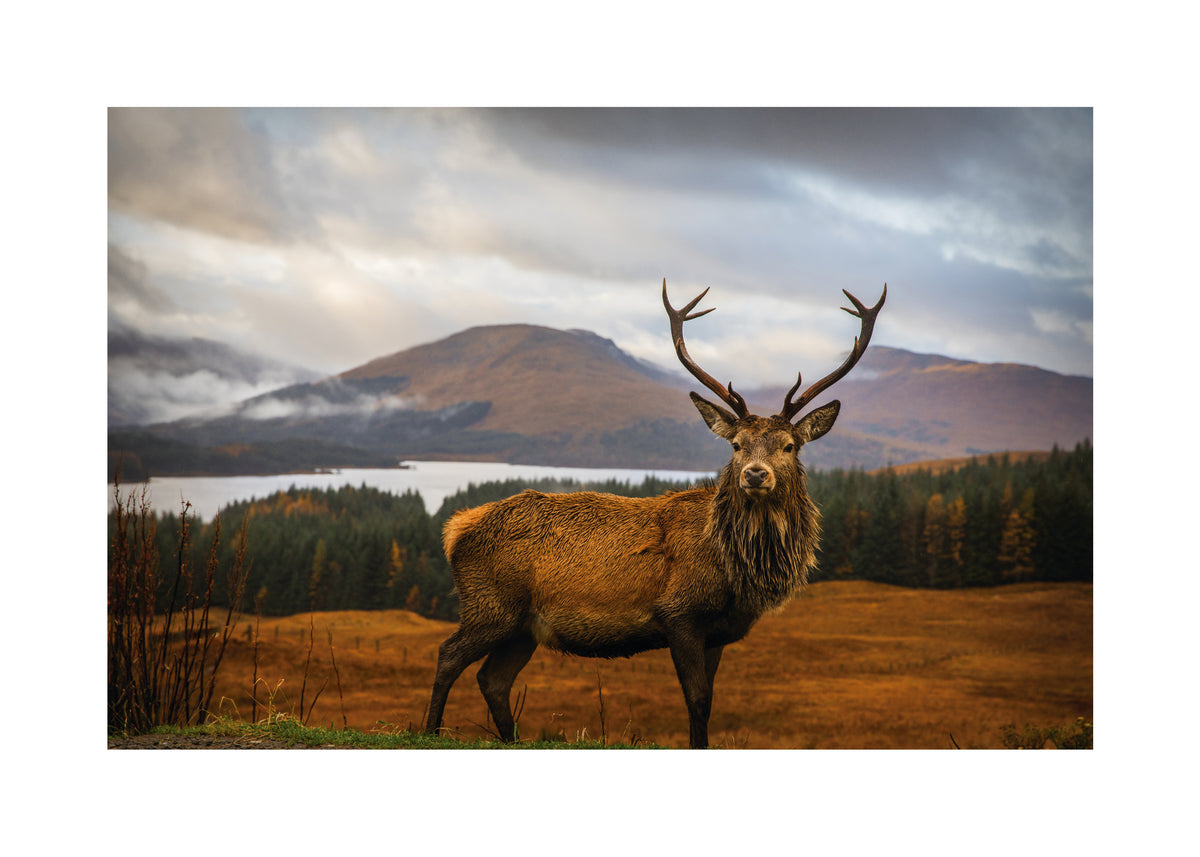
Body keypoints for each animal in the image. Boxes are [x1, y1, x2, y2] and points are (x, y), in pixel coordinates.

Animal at [423, 279, 886, 748]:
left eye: (790, 446)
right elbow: (696, 700)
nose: (755, 474)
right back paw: (429, 730)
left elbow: (709, 702)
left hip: (522, 627)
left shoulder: (718, 633)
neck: (736, 572)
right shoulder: (678, 613)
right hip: (491, 605)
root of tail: (456, 528)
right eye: (736, 445)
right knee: (448, 655)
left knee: (493, 680)